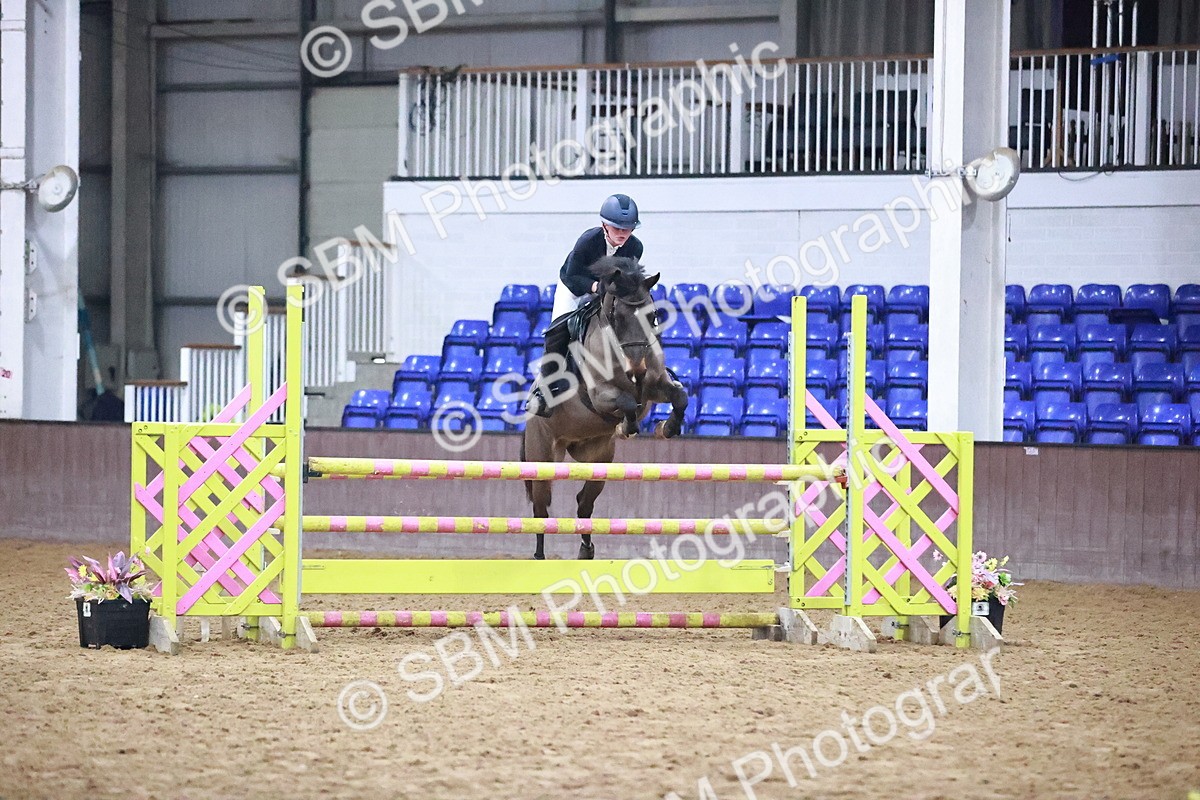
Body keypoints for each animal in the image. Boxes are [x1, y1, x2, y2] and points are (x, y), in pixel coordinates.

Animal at [521, 257, 688, 560]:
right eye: (617, 317)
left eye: (653, 316)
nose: (637, 370)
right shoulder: (600, 396)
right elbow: (626, 403)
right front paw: (627, 427)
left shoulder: (656, 386)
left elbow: (680, 396)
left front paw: (667, 428)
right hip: (542, 457)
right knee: (541, 509)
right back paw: (540, 557)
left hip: (599, 458)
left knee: (584, 503)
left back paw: (586, 550)